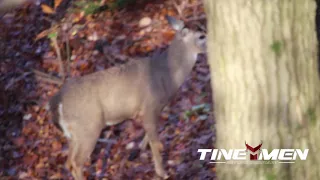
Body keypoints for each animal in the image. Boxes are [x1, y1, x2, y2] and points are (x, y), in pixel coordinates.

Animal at [48, 15, 208, 180]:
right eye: (201, 36)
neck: (168, 74)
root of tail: (57, 100)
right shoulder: (149, 105)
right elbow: (155, 142)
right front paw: (162, 172)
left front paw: (140, 150)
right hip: (89, 127)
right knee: (76, 162)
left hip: (74, 133)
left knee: (68, 162)